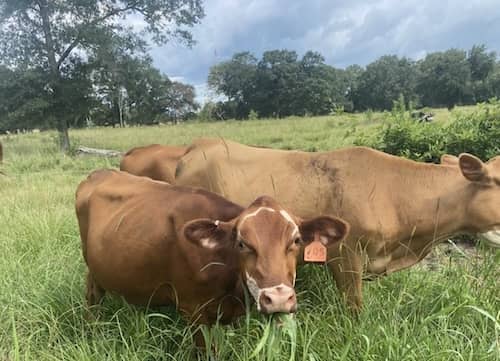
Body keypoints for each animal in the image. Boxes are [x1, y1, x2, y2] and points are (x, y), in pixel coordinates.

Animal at [75, 169, 348, 344]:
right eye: (242, 243)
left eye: (296, 240)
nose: (279, 299)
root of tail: (100, 173)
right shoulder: (193, 310)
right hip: (91, 269)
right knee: (92, 297)